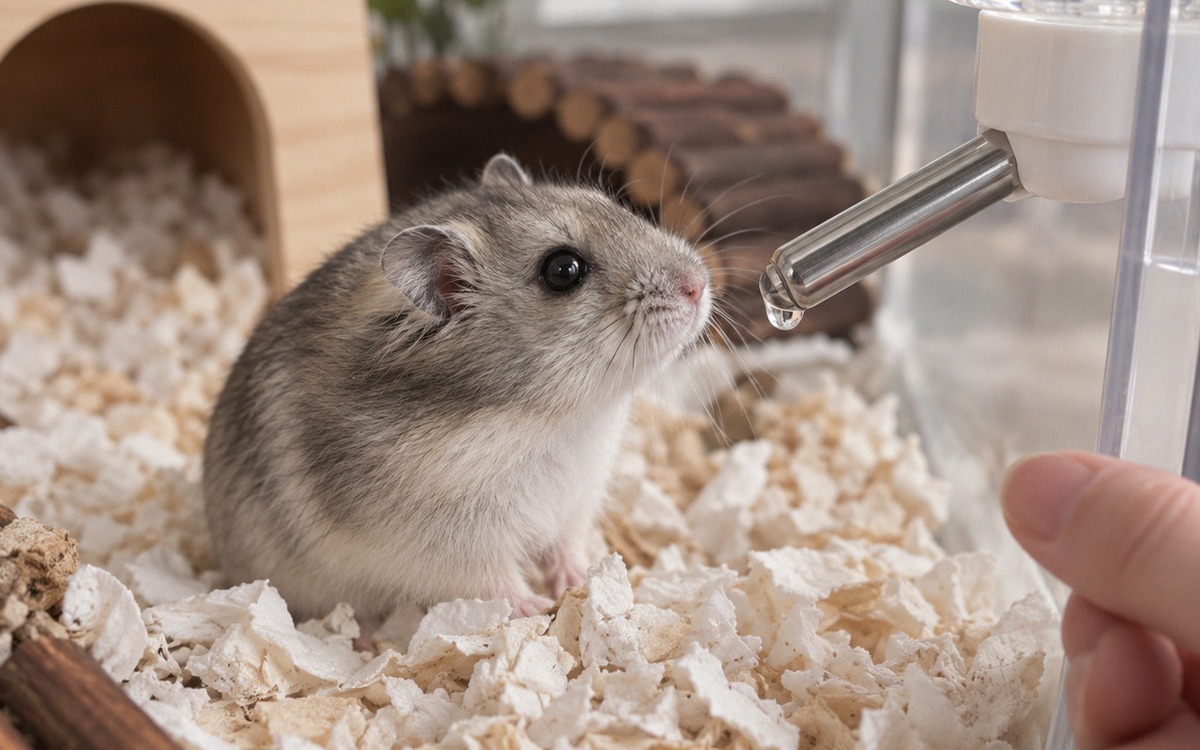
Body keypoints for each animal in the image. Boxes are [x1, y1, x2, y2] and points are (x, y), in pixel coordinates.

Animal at [201, 154, 712, 625]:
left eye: (608, 204)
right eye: (563, 270)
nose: (699, 283)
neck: (545, 416)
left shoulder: (574, 506)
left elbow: (564, 549)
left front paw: (583, 580)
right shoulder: (450, 547)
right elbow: (495, 582)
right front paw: (539, 608)